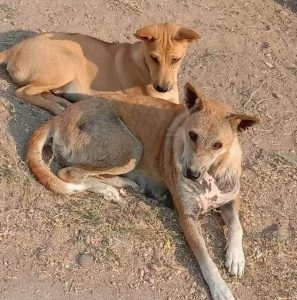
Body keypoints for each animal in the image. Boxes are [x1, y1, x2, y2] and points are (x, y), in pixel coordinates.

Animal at [0, 22, 199, 114]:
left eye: (175, 60)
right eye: (154, 58)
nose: (162, 88)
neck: (144, 65)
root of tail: (14, 49)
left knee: (40, 91)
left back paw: (62, 102)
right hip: (69, 62)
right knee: (23, 91)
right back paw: (55, 107)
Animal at [26, 83, 256, 298]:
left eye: (218, 145)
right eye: (192, 135)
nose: (191, 174)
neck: (212, 172)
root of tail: (61, 116)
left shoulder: (230, 200)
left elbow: (237, 225)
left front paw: (236, 257)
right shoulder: (187, 217)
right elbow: (206, 261)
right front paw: (220, 288)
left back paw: (121, 185)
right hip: (132, 148)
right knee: (69, 172)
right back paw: (110, 188)